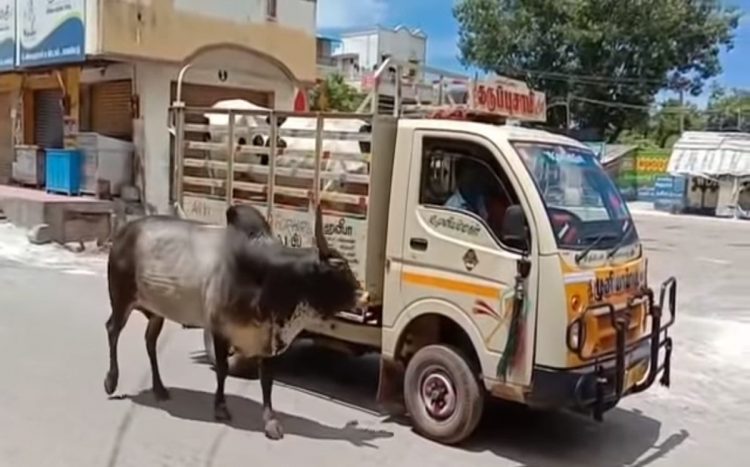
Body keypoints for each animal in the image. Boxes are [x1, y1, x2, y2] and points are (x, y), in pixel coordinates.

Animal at [103, 204, 362, 438]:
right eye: (340, 270)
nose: (362, 295)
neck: (270, 279)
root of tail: (124, 232)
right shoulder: (220, 329)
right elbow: (222, 370)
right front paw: (221, 408)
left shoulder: (267, 337)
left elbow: (266, 381)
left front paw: (271, 422)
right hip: (121, 298)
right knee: (112, 329)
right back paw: (111, 381)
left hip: (156, 311)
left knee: (150, 341)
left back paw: (159, 389)